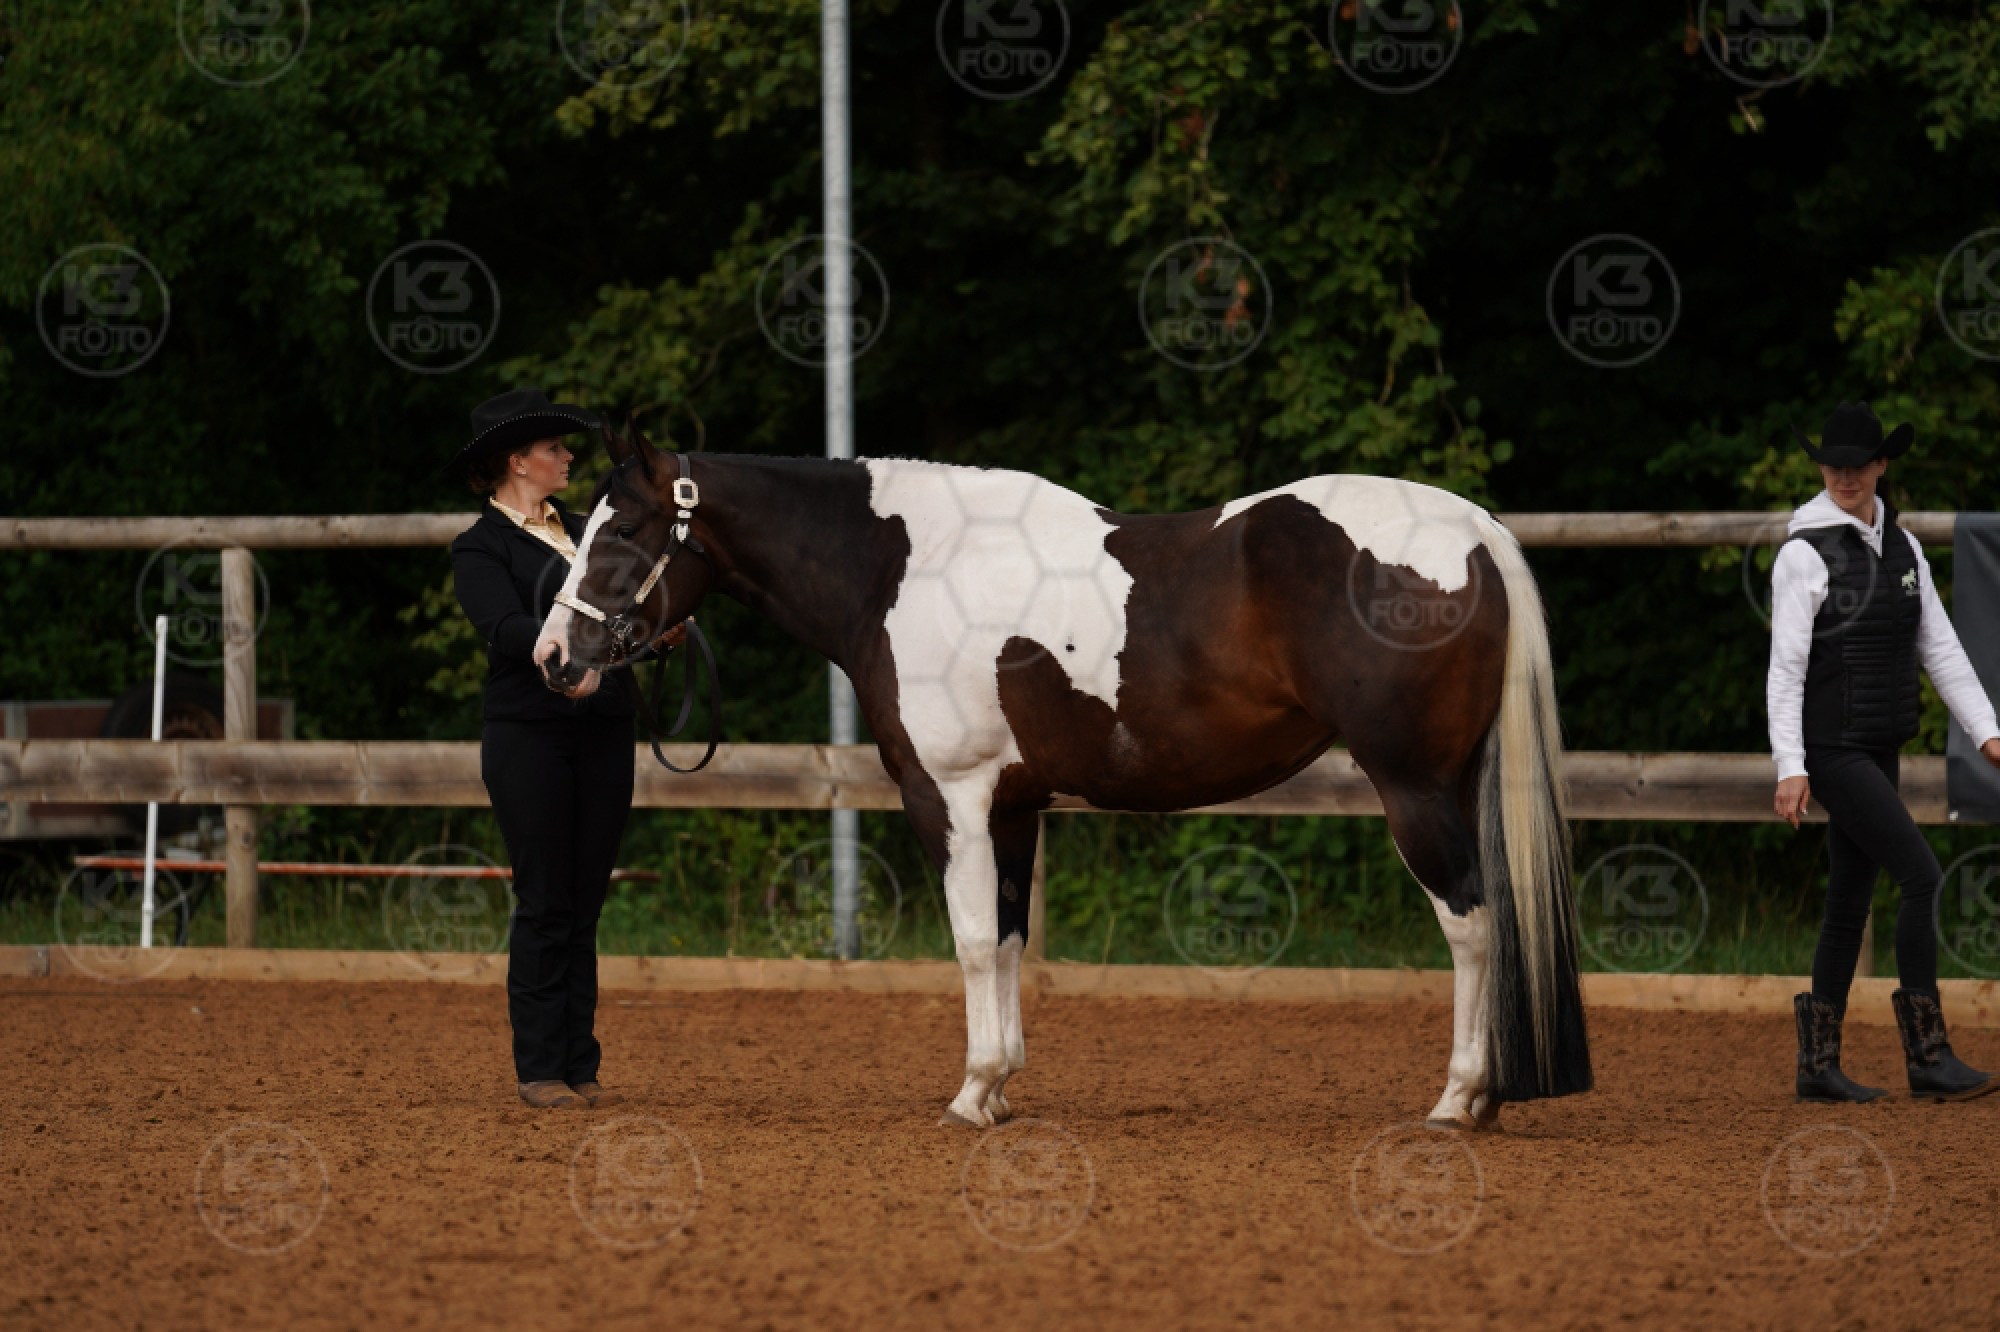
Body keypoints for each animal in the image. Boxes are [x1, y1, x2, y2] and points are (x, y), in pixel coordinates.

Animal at [531, 424, 1592, 1130]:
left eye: (619, 531)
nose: (553, 657)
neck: (905, 567)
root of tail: (1477, 531)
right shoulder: (1011, 806)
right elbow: (1005, 940)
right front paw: (998, 1089)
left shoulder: (949, 797)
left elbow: (967, 943)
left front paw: (969, 1093)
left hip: (1414, 789)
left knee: (1472, 924)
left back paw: (1459, 1101)